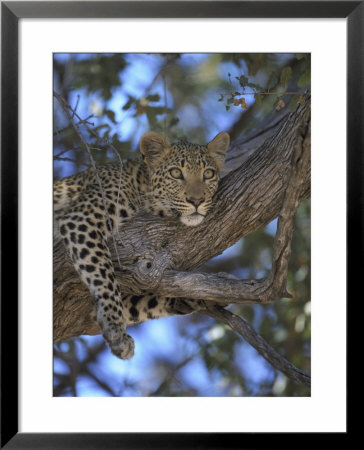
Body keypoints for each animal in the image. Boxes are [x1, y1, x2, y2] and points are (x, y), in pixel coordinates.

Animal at [53, 130, 230, 358]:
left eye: (208, 174)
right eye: (175, 173)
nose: (197, 200)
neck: (139, 186)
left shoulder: (90, 311)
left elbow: (145, 301)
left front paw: (209, 295)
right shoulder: (80, 220)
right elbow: (104, 277)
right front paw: (115, 326)